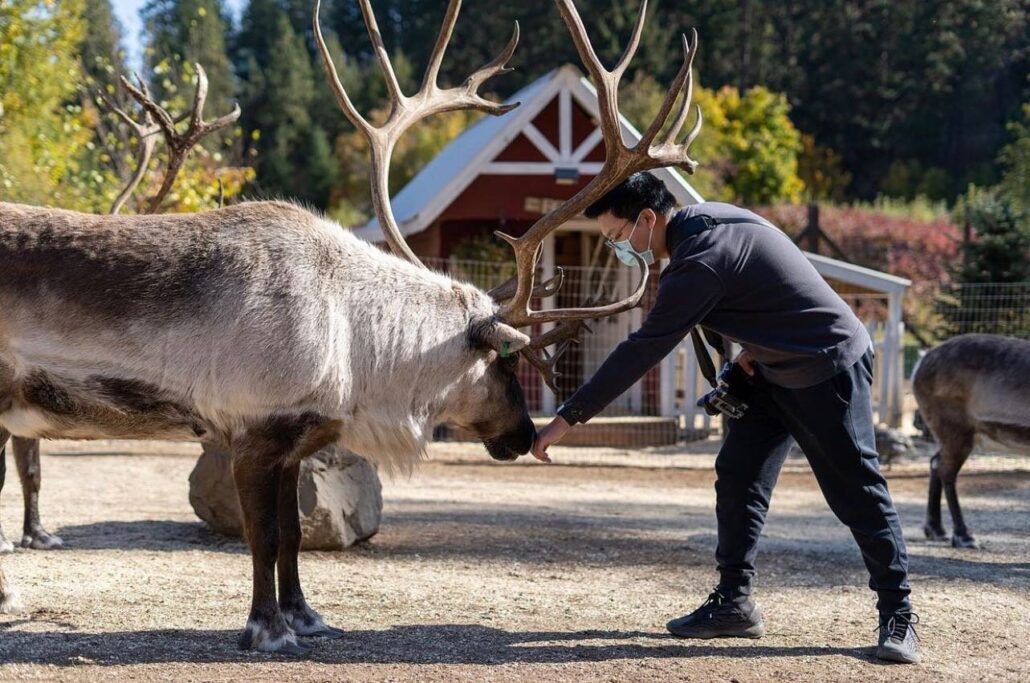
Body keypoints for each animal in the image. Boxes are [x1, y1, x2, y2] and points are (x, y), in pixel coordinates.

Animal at [0, 0, 703, 654]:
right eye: (503, 361)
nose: (525, 435)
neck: (353, 338)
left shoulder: (294, 441)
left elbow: (291, 538)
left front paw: (306, 618)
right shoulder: (253, 432)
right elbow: (264, 538)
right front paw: (266, 630)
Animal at [913, 333, 1030, 549]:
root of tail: (921, 362)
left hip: (953, 435)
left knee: (935, 462)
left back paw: (936, 530)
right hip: (956, 431)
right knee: (946, 471)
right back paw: (963, 536)